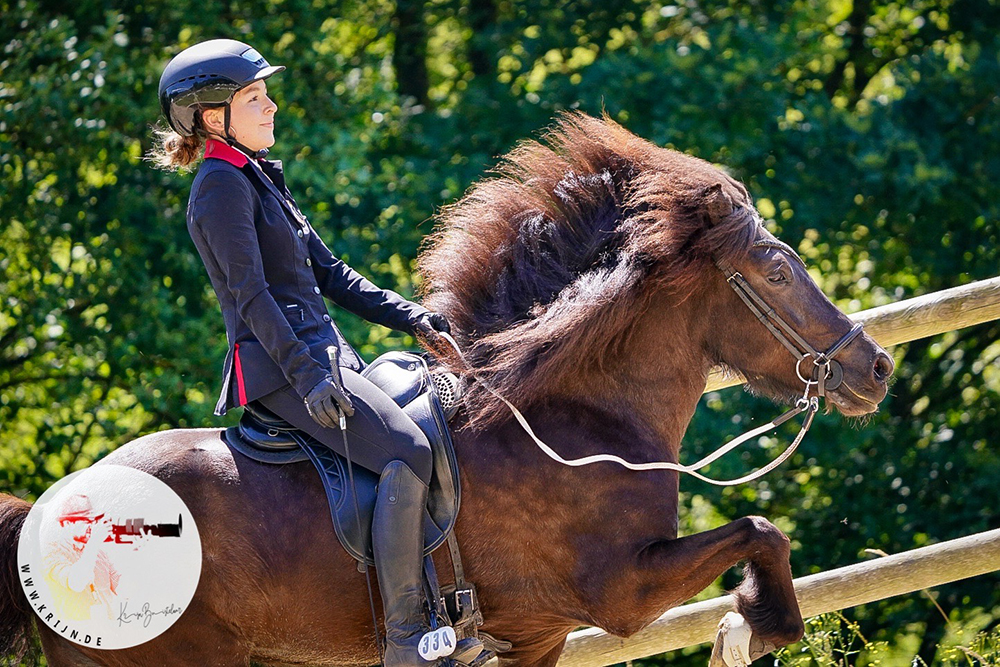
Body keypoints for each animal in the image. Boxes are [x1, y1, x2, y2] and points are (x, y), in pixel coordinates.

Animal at [0, 112, 892, 664]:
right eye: (775, 271)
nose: (876, 367)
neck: (573, 419)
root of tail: (42, 511)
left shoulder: (535, 635)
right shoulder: (621, 590)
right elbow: (759, 528)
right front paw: (755, 626)